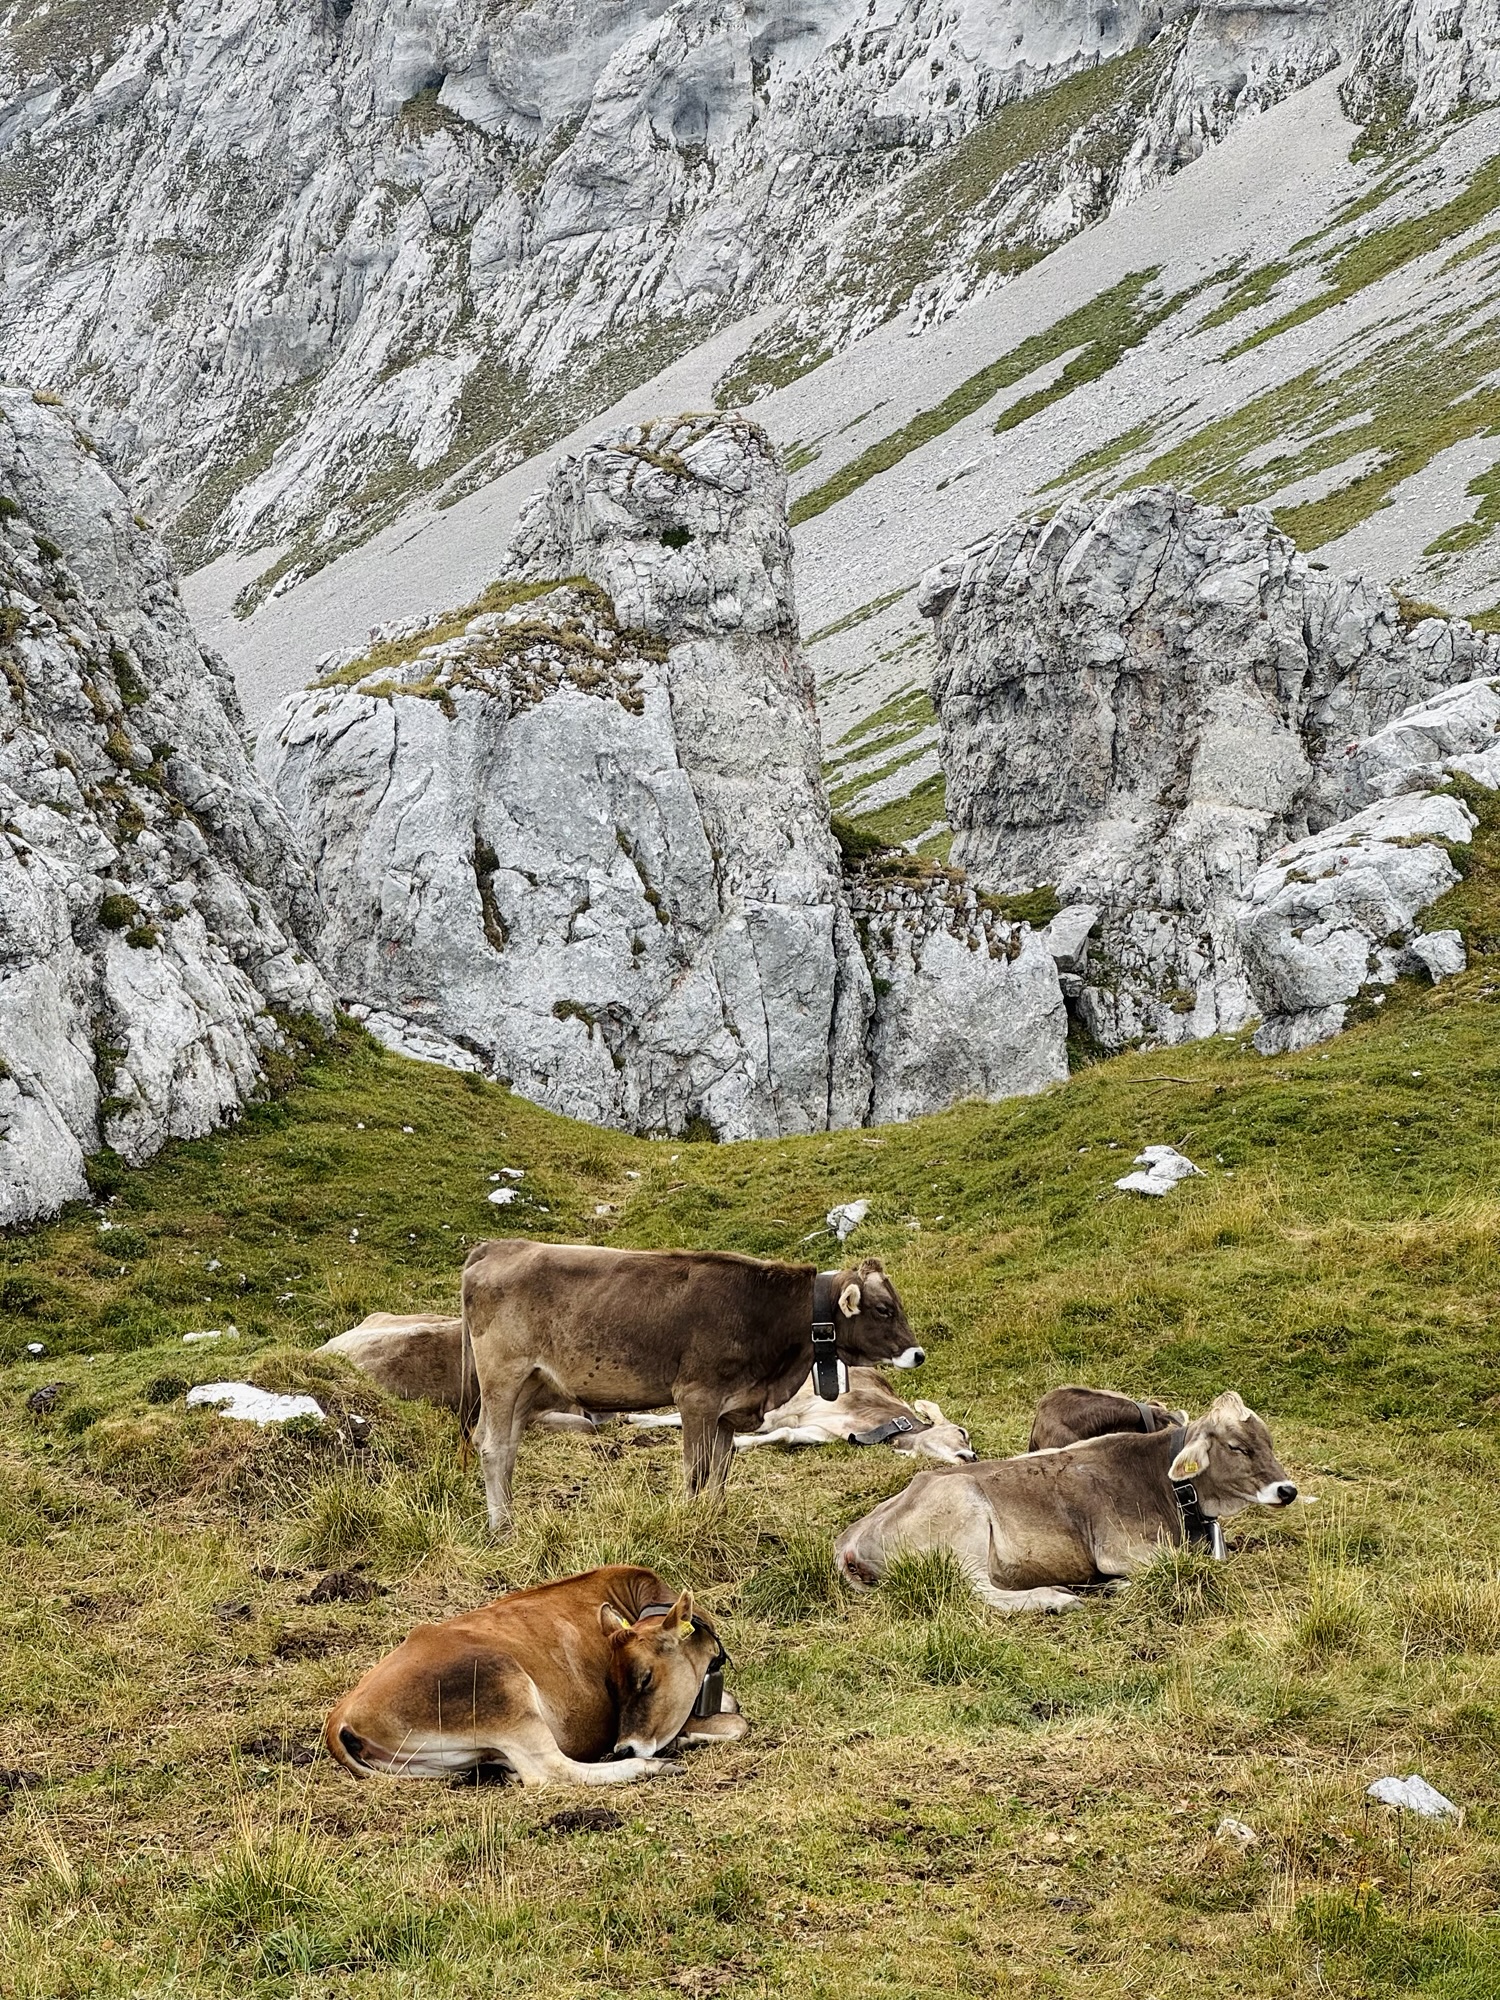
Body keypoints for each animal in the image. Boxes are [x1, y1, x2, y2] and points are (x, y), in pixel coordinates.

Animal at [326, 1565, 745, 1787]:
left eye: (643, 1679)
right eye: (611, 1686)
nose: (623, 1747)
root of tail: (340, 1715)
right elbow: (739, 1721)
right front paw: (685, 1739)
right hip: (506, 1694)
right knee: (548, 1769)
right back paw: (653, 1766)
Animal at [461, 1240, 924, 1529]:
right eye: (884, 1309)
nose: (917, 1354)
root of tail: (501, 1246)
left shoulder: (729, 1409)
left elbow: (721, 1468)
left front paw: (714, 1518)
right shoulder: (696, 1398)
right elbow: (696, 1469)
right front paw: (688, 1519)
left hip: (530, 1383)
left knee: (504, 1445)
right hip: (504, 1373)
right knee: (493, 1447)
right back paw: (502, 1526)